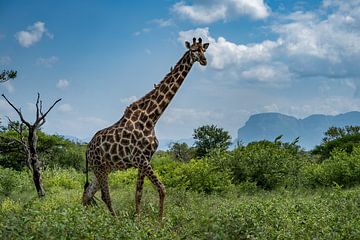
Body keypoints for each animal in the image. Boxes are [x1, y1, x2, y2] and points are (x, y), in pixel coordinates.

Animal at [82, 37, 210, 219]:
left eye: (204, 50)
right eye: (193, 50)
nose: (204, 61)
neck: (151, 118)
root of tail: (87, 149)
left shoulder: (144, 159)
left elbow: (139, 193)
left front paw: (139, 219)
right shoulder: (141, 159)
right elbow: (161, 189)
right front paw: (158, 222)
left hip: (100, 168)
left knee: (87, 195)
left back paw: (85, 220)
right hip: (99, 168)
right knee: (105, 196)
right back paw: (115, 221)